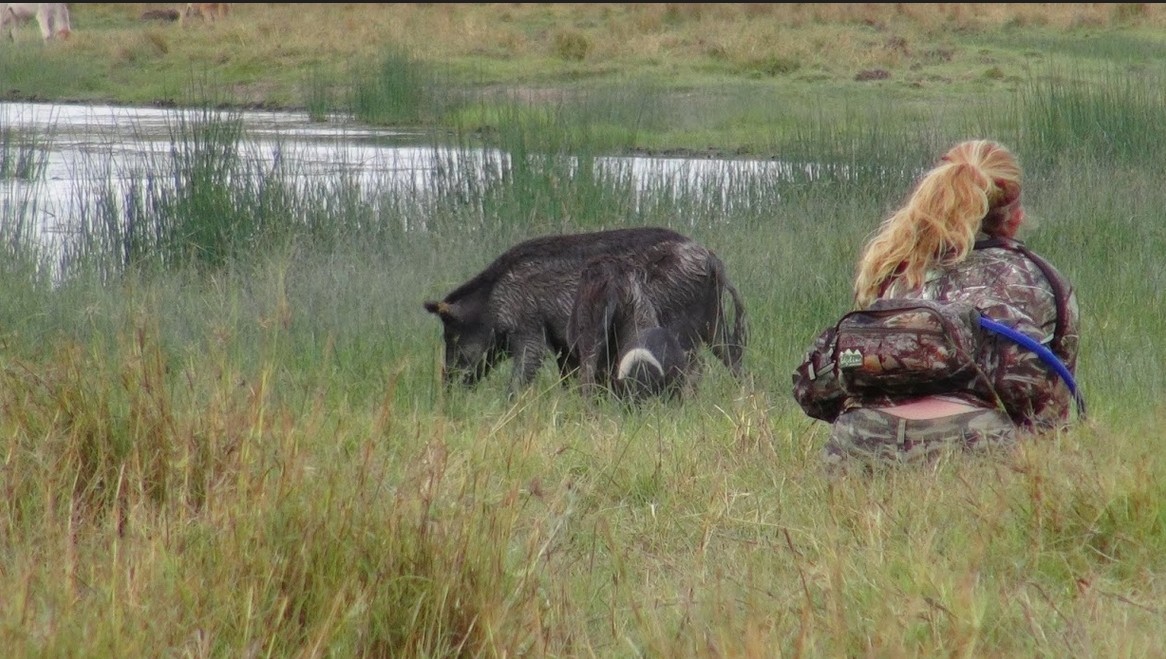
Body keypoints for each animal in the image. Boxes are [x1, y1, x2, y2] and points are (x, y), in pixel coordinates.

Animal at [426, 226, 746, 396]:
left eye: (451, 335)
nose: (446, 389)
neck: (493, 302)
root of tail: (712, 260)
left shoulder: (530, 328)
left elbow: (524, 370)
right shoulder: (560, 342)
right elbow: (566, 374)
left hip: (682, 324)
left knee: (695, 366)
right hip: (713, 324)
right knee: (733, 359)